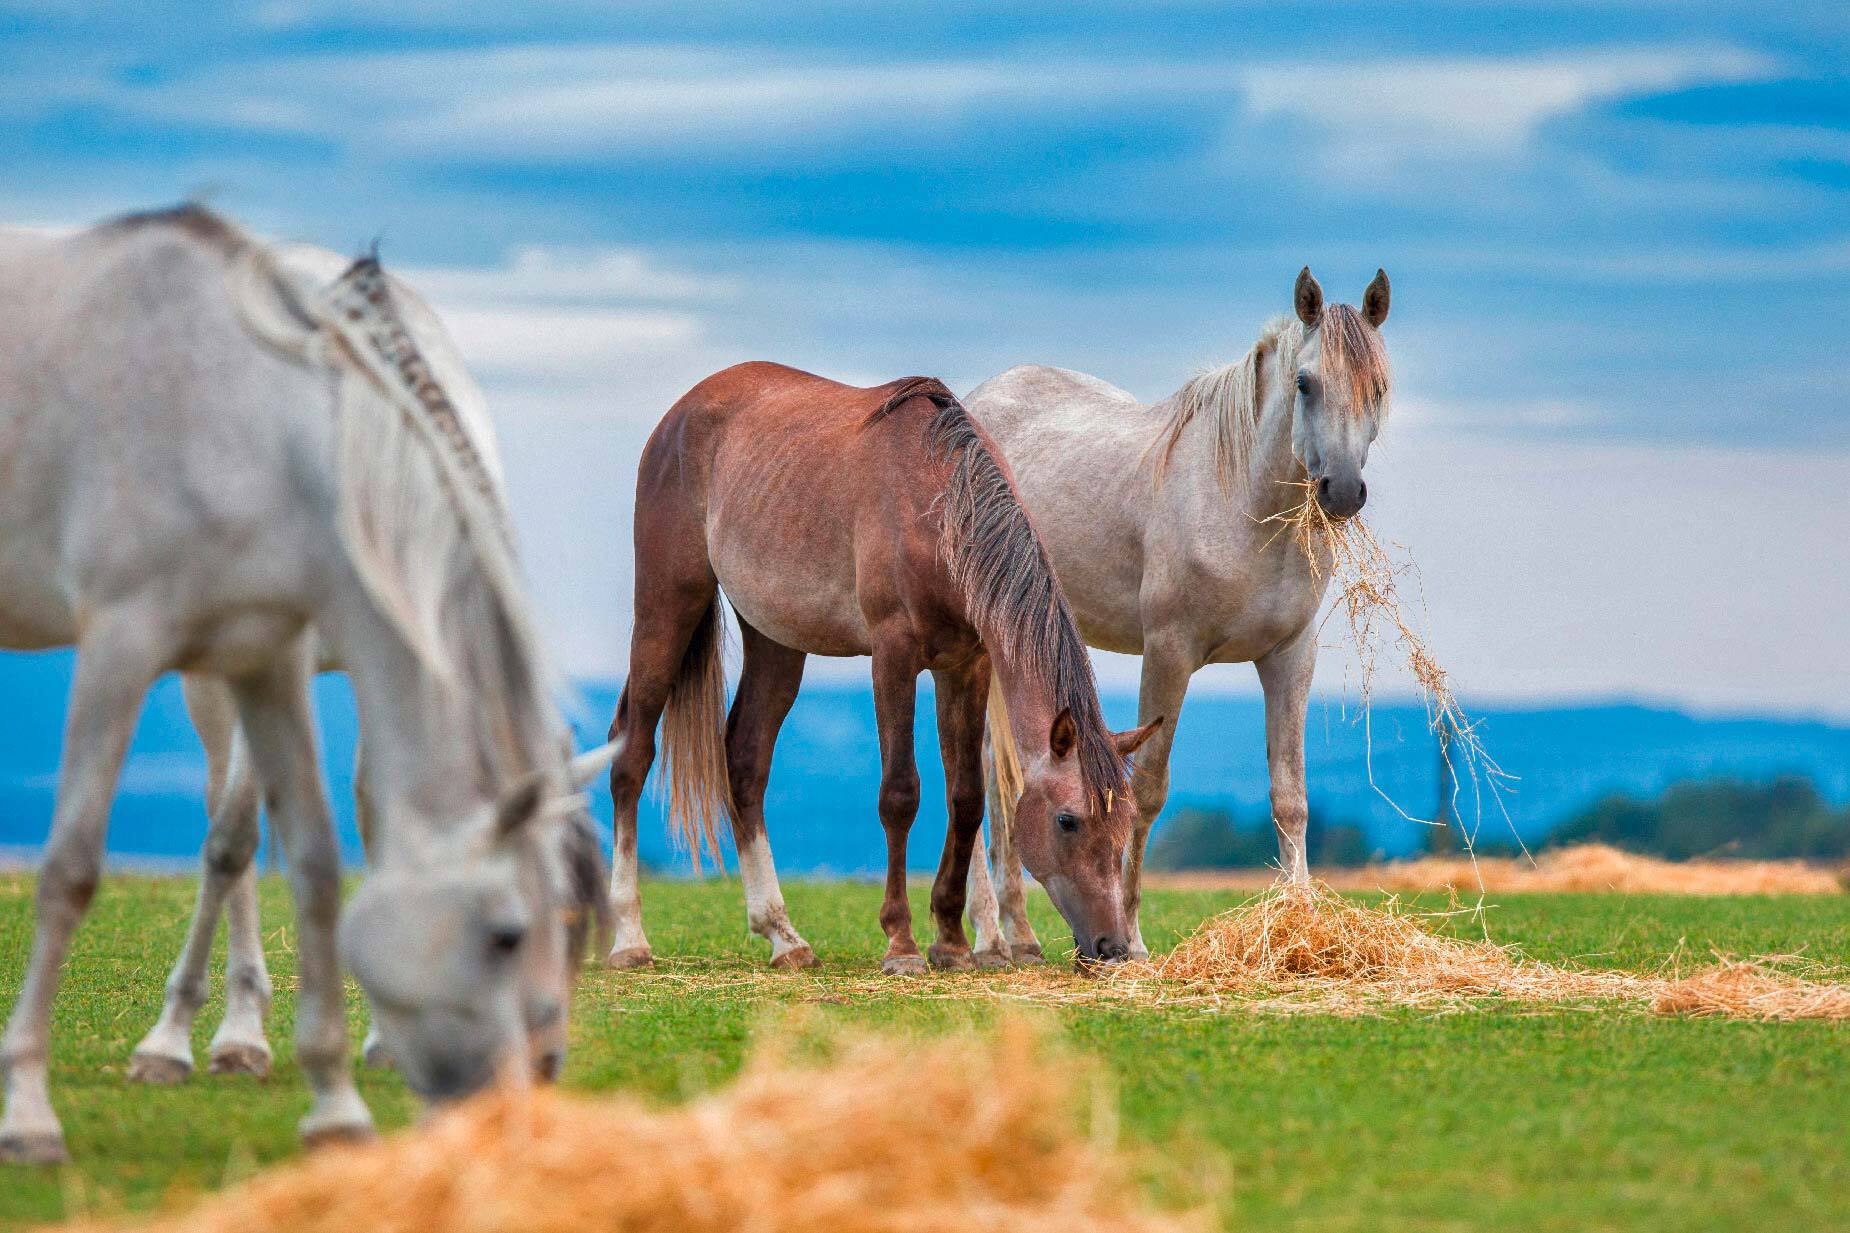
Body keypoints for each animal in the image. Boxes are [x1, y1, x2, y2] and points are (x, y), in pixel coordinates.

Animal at [0, 206, 608, 1163]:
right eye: (514, 932)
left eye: (580, 924)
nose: (540, 1070)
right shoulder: (244, 649)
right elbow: (232, 840)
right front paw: (191, 1039)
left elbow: (356, 831)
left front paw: (372, 1045)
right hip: (204, 677)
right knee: (229, 833)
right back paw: (215, 1035)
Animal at [604, 363, 1160, 974]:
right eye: (1067, 820)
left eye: (1124, 821)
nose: (1112, 949)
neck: (938, 506)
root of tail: (681, 413)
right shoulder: (893, 657)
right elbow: (900, 794)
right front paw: (903, 944)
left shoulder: (966, 666)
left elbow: (966, 798)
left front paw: (951, 942)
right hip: (667, 606)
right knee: (631, 753)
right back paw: (629, 938)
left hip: (776, 640)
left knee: (746, 761)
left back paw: (783, 936)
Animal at [963, 268, 1392, 959]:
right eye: (1305, 383)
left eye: (1378, 387)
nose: (1344, 491)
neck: (1238, 501)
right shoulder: (1169, 652)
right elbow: (1145, 792)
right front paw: (1133, 938)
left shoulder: (1289, 657)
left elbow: (1290, 795)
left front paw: (1300, 921)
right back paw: (987, 935)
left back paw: (1018, 936)